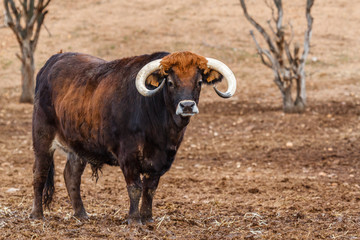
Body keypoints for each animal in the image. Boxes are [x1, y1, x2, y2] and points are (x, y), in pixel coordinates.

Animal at [30, 51, 236, 225]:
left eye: (199, 82)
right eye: (169, 82)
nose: (187, 106)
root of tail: (55, 59)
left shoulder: (160, 161)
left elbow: (150, 189)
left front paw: (148, 218)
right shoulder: (128, 156)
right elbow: (135, 187)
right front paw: (134, 220)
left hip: (78, 147)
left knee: (71, 176)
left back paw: (81, 214)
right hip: (42, 138)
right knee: (39, 174)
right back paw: (37, 215)